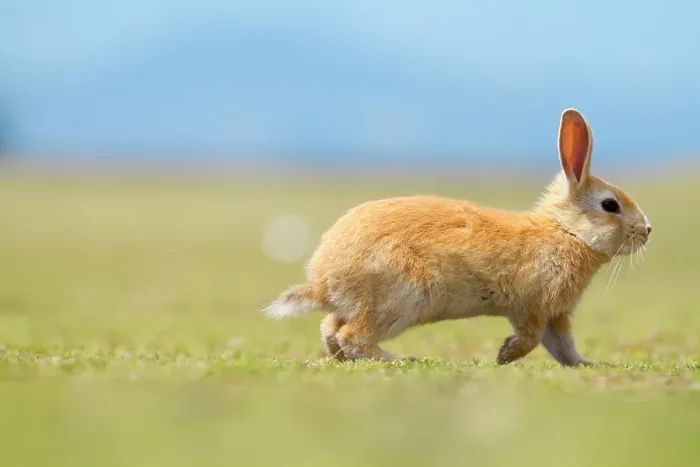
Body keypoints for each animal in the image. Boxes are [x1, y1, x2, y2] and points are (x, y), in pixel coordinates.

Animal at [263, 108, 652, 366]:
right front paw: (505, 355)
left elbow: (564, 348)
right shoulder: (533, 305)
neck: (566, 232)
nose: (647, 230)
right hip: (399, 299)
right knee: (352, 337)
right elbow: (531, 339)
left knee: (331, 331)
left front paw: (588, 365)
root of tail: (323, 282)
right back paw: (399, 359)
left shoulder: (556, 315)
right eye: (610, 205)